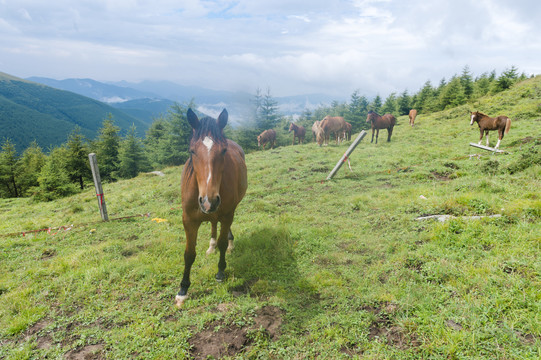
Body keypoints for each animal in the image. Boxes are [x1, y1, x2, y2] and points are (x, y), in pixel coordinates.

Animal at [175, 108, 247, 308]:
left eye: (223, 151)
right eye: (192, 151)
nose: (210, 201)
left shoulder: (227, 213)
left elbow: (223, 242)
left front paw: (220, 272)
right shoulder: (188, 220)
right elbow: (189, 254)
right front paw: (183, 290)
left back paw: (228, 243)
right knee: (214, 224)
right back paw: (211, 245)